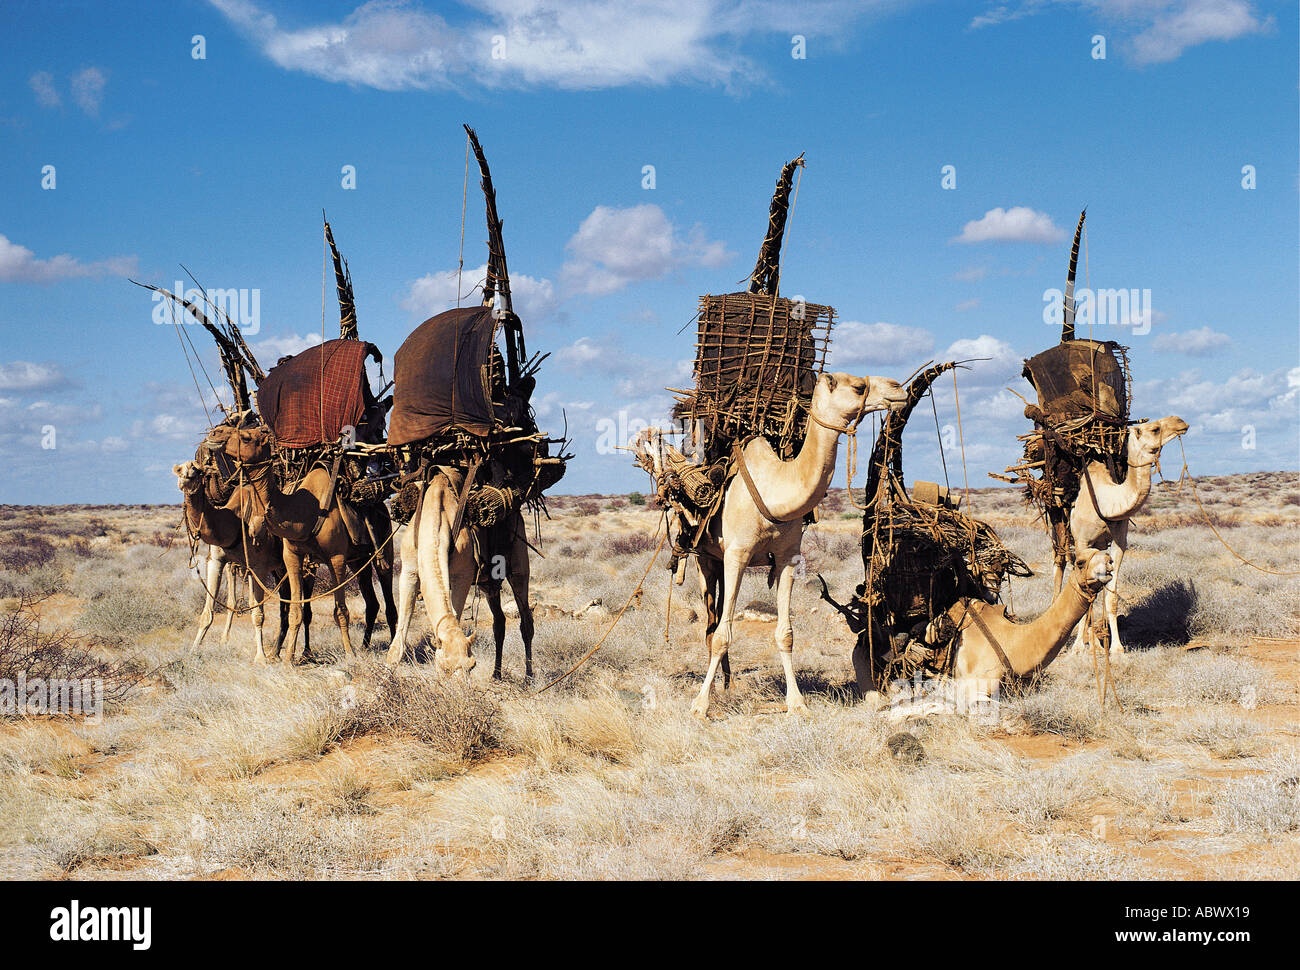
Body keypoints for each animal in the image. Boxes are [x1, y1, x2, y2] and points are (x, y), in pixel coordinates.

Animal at [655, 369, 909, 717]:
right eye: (859, 387)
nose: (898, 390)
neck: (774, 490)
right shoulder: (737, 553)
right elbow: (722, 634)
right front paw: (700, 705)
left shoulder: (789, 556)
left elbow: (785, 634)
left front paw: (797, 702)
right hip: (704, 557)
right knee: (711, 622)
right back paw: (716, 690)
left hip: (718, 560)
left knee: (716, 618)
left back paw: (728, 684)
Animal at [1066, 410, 1190, 652]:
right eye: (1155, 429)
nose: (1181, 421)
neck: (1106, 502)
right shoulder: (1082, 543)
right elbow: (1084, 594)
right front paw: (1078, 648)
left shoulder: (1119, 543)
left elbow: (1111, 596)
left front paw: (1116, 649)